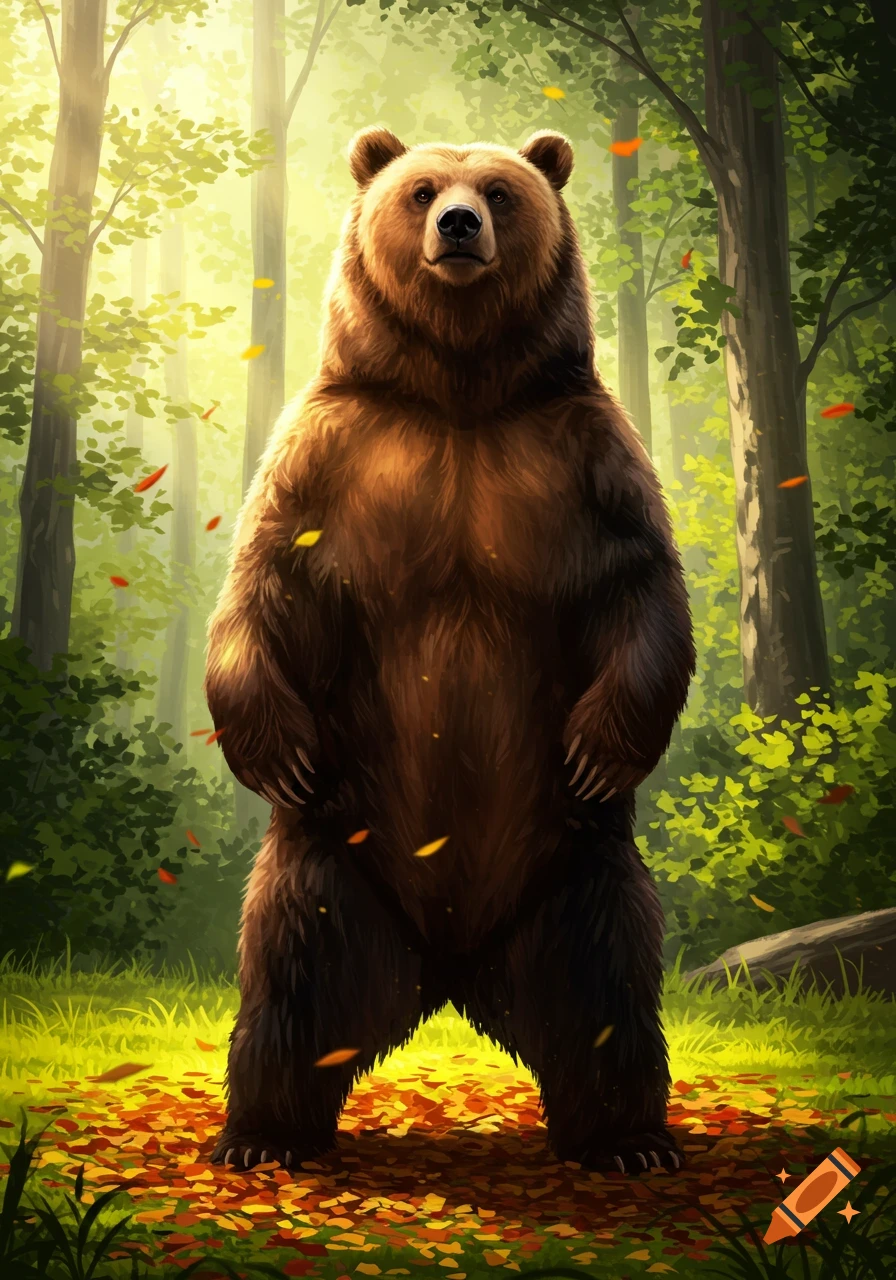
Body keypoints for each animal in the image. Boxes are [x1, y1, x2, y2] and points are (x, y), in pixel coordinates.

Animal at [204, 125, 695, 1176]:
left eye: (501, 192)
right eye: (422, 188)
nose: (461, 225)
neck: (460, 394)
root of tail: (453, 967)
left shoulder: (580, 454)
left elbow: (641, 583)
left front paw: (600, 749)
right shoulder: (334, 451)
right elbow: (265, 580)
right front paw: (277, 748)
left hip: (576, 874)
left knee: (606, 988)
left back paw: (629, 1139)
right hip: (332, 869)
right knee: (292, 984)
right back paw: (263, 1134)